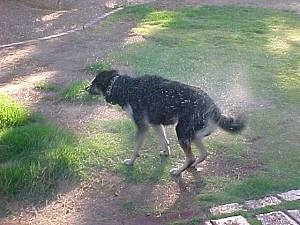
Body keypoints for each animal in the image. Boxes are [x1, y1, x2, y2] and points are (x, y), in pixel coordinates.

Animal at [85, 70, 246, 176]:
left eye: (93, 83)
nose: (85, 88)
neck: (124, 86)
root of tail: (215, 109)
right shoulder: (156, 124)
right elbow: (164, 141)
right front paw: (166, 152)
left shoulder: (142, 127)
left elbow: (136, 148)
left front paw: (131, 162)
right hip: (192, 134)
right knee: (203, 154)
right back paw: (192, 166)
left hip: (181, 131)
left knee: (191, 157)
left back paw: (178, 171)